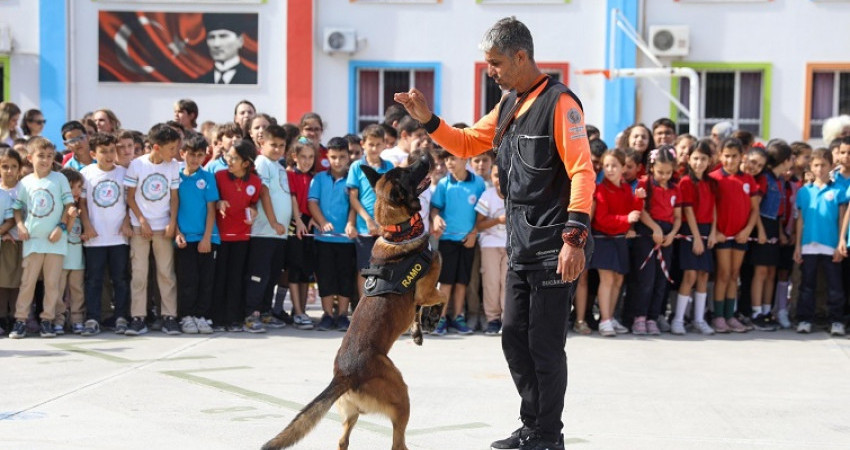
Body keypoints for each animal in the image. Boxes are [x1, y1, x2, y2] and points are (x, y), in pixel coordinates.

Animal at [262, 153, 448, 448]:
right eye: (408, 171)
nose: (426, 155)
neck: (399, 232)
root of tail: (343, 376)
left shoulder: (418, 296)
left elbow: (419, 308)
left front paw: (419, 329)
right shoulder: (427, 289)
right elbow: (443, 293)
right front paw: (434, 318)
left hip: (351, 414)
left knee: (342, 441)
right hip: (401, 396)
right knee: (397, 442)